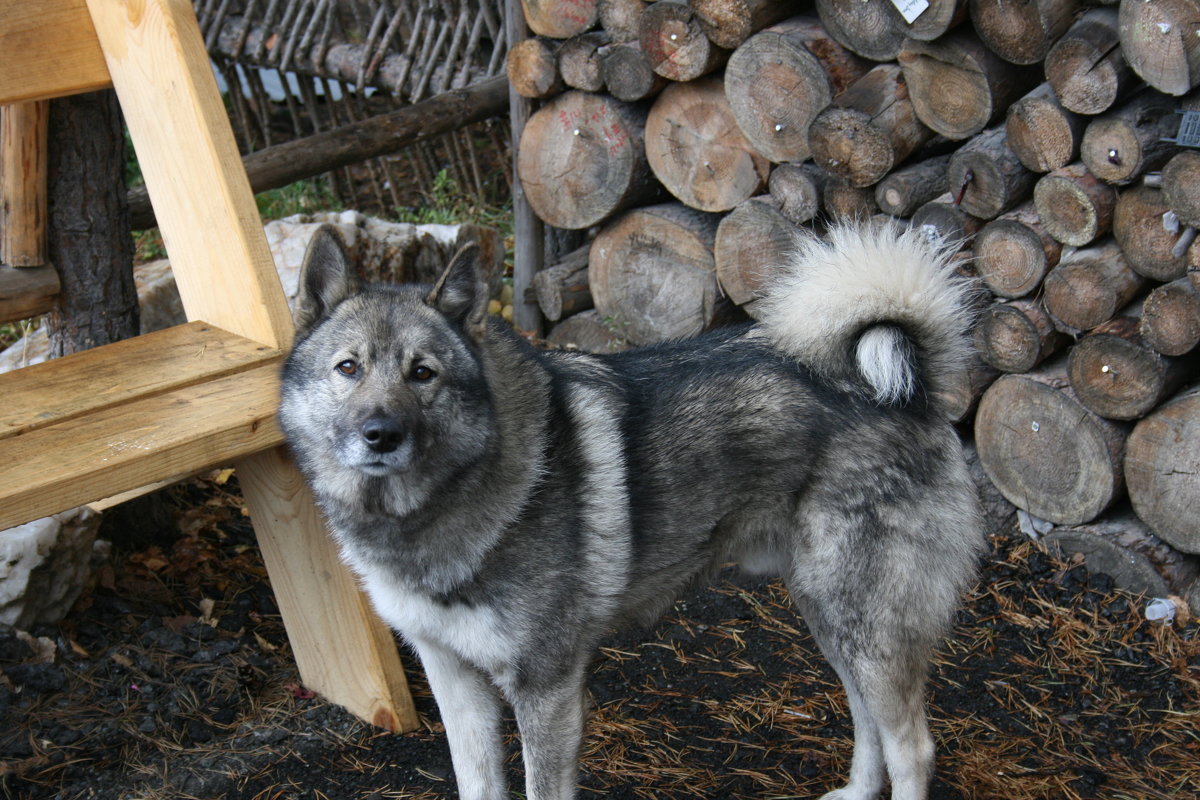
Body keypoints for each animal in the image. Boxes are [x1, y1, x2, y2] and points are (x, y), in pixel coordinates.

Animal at [278, 221, 984, 800]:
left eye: (422, 373)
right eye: (348, 368)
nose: (380, 434)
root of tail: (903, 389)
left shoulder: (547, 690)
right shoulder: (455, 683)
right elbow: (476, 784)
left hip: (865, 625)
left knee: (913, 748)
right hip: (831, 617)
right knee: (867, 719)